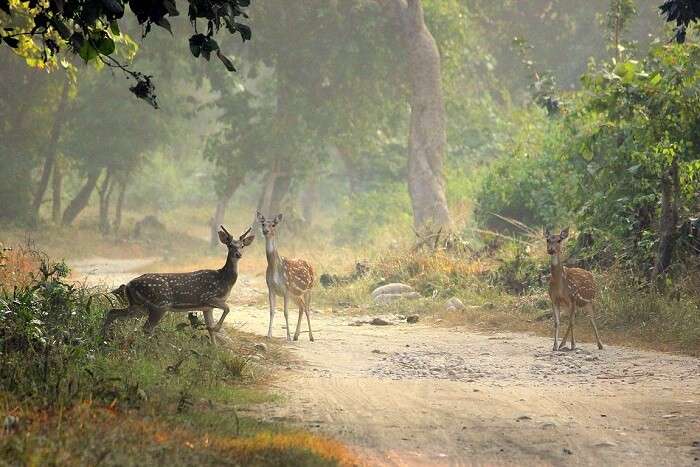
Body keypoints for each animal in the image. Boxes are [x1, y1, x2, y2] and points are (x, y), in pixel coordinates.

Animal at [102, 226, 256, 344]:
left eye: (242, 245)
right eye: (230, 245)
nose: (238, 254)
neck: (224, 280)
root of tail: (129, 284)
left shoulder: (207, 307)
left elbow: (210, 327)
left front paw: (214, 349)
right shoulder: (208, 297)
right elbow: (227, 308)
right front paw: (216, 330)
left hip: (139, 306)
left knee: (113, 312)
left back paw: (103, 338)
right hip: (160, 304)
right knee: (146, 328)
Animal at [258, 214, 318, 342]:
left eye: (273, 224)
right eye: (263, 223)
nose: (265, 231)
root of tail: (310, 264)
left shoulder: (286, 288)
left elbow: (286, 312)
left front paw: (288, 337)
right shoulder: (271, 288)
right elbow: (272, 311)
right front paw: (269, 335)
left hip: (309, 288)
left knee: (307, 309)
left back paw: (311, 337)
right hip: (295, 294)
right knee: (301, 307)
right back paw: (296, 335)